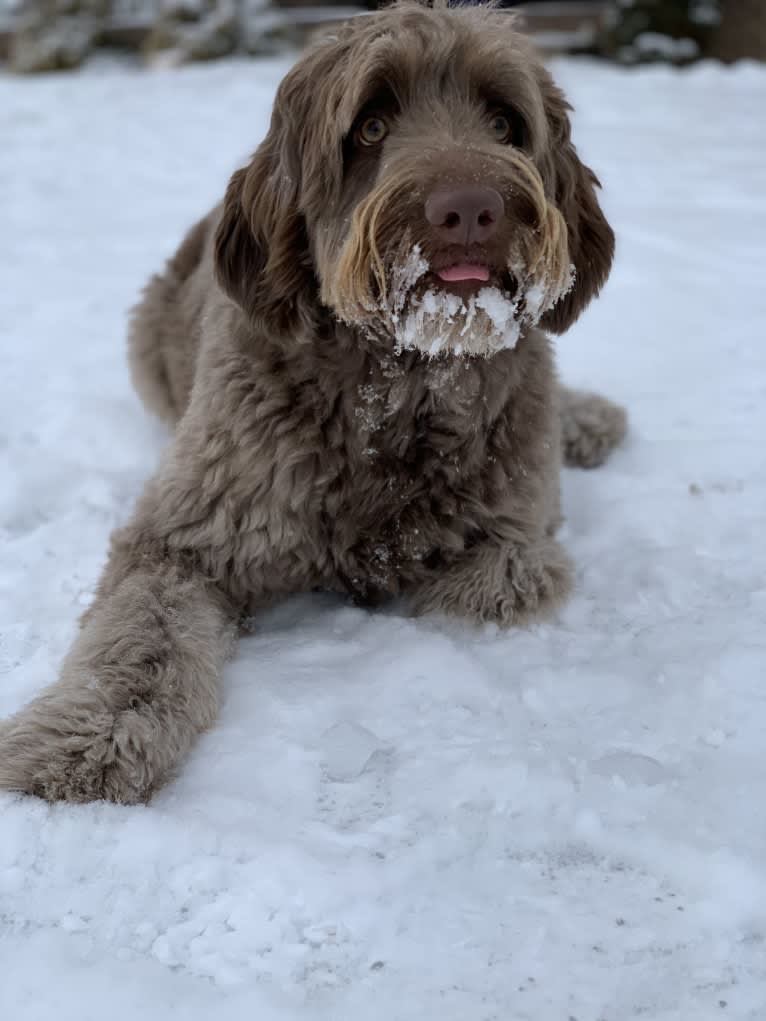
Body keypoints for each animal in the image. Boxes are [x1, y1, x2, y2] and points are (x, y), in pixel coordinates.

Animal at [0, 0, 625, 800]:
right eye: (371, 125)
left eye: (504, 122)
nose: (471, 209)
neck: (396, 385)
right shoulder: (183, 538)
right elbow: (141, 641)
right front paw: (84, 740)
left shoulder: (515, 545)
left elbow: (488, 581)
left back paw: (588, 419)